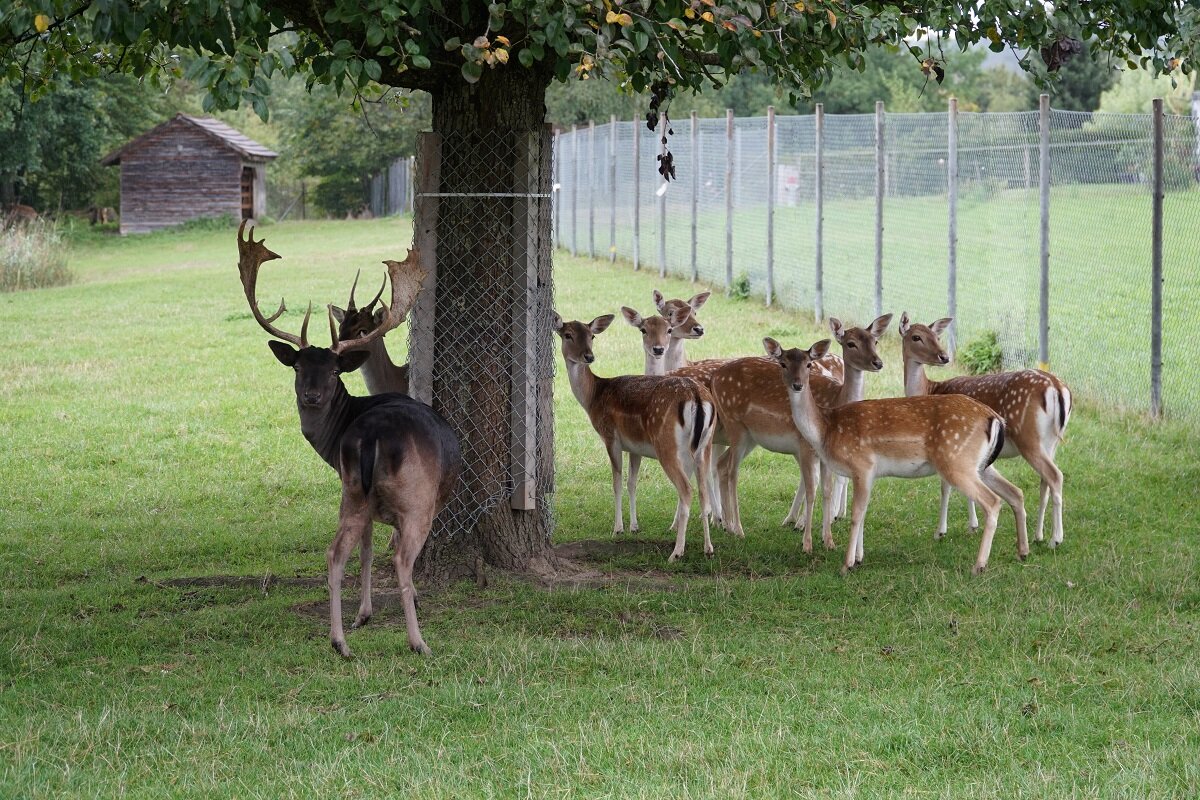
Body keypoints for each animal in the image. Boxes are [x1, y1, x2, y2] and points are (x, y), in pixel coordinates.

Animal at [236, 220, 460, 657]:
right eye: (297, 367)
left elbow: (365, 550)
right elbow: (376, 550)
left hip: (353, 491)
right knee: (400, 558)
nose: (311, 396)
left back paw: (339, 641)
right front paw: (375, 611)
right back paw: (418, 642)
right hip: (415, 500)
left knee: (335, 552)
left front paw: (362, 615)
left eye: (333, 370)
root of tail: (372, 436)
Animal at [549, 311, 710, 563]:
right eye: (568, 334)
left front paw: (618, 528)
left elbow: (616, 482)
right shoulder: (635, 447)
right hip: (704, 446)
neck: (593, 397)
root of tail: (695, 395)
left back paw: (676, 552)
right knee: (703, 491)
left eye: (592, 336)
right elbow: (632, 483)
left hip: (667, 446)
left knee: (686, 490)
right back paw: (708, 548)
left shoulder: (611, 437)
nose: (588, 356)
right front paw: (634, 526)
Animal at [710, 311, 892, 551]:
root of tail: (714, 378)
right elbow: (812, 488)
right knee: (732, 471)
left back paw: (727, 525)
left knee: (721, 465)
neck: (835, 400)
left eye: (875, 341)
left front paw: (827, 539)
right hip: (735, 425)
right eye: (851, 343)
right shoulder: (805, 446)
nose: (878, 362)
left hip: (750, 437)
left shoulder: (823, 454)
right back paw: (738, 529)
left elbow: (826, 489)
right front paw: (806, 537)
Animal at [772, 338, 1027, 575]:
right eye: (783, 363)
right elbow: (864, 513)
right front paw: (859, 558)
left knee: (993, 502)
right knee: (1015, 492)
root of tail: (994, 418)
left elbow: (856, 514)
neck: (826, 430)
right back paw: (1022, 552)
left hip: (956, 461)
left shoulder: (862, 464)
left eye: (809, 364)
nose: (796, 385)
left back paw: (979, 565)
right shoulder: (868, 473)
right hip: (979, 465)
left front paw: (847, 564)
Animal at [897, 316, 1075, 546]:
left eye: (936, 336)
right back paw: (1039, 535)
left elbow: (946, 486)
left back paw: (1055, 539)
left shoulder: (947, 440)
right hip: (1051, 442)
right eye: (916, 337)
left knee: (1055, 476)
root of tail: (1058, 388)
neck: (929, 390)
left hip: (1029, 438)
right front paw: (973, 525)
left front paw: (941, 531)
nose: (944, 357)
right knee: (1045, 481)